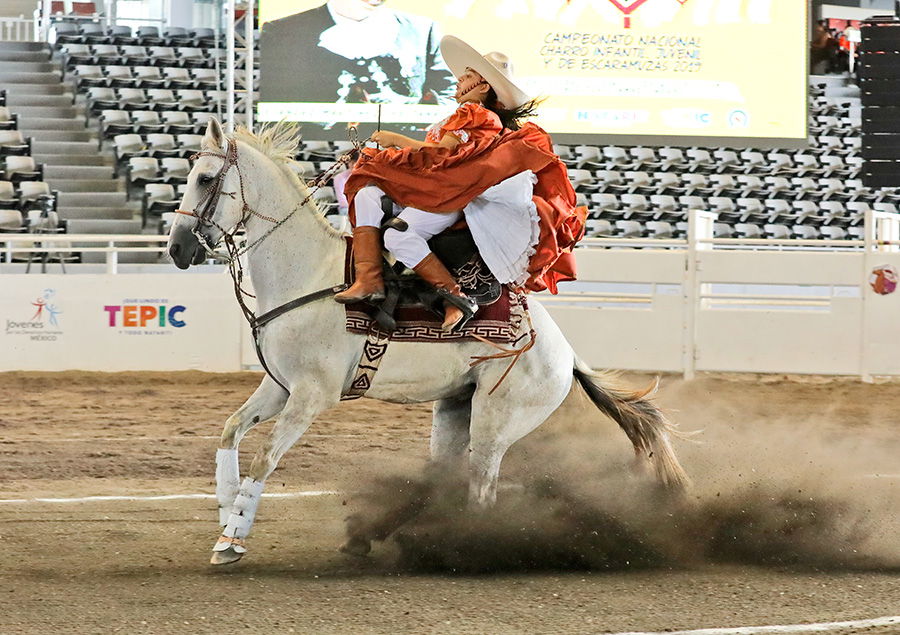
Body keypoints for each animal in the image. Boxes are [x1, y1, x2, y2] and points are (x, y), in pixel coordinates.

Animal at [169, 120, 688, 568]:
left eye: (206, 178)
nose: (176, 248)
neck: (312, 276)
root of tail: (566, 355)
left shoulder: (312, 395)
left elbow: (265, 458)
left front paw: (233, 539)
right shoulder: (279, 386)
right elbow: (230, 432)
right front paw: (225, 513)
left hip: (494, 425)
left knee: (482, 491)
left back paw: (465, 549)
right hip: (454, 411)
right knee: (447, 481)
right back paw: (382, 537)